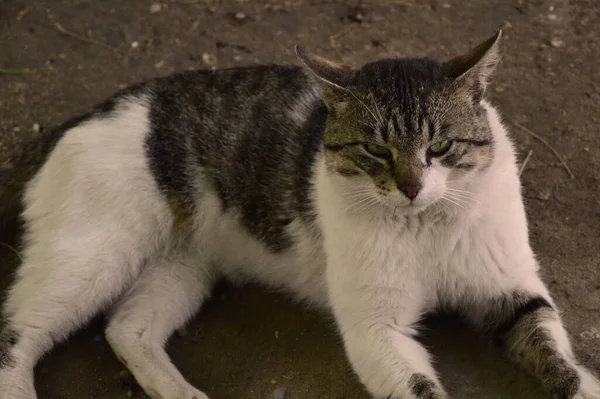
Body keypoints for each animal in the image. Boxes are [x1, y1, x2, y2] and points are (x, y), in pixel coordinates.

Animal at [1, 28, 600, 399]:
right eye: (375, 150)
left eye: (441, 146)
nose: (410, 187)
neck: (426, 223)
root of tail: (85, 116)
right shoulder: (374, 327)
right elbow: (420, 386)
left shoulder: (513, 289)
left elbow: (556, 354)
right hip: (91, 257)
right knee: (14, 332)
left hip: (183, 266)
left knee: (128, 328)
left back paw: (182, 391)